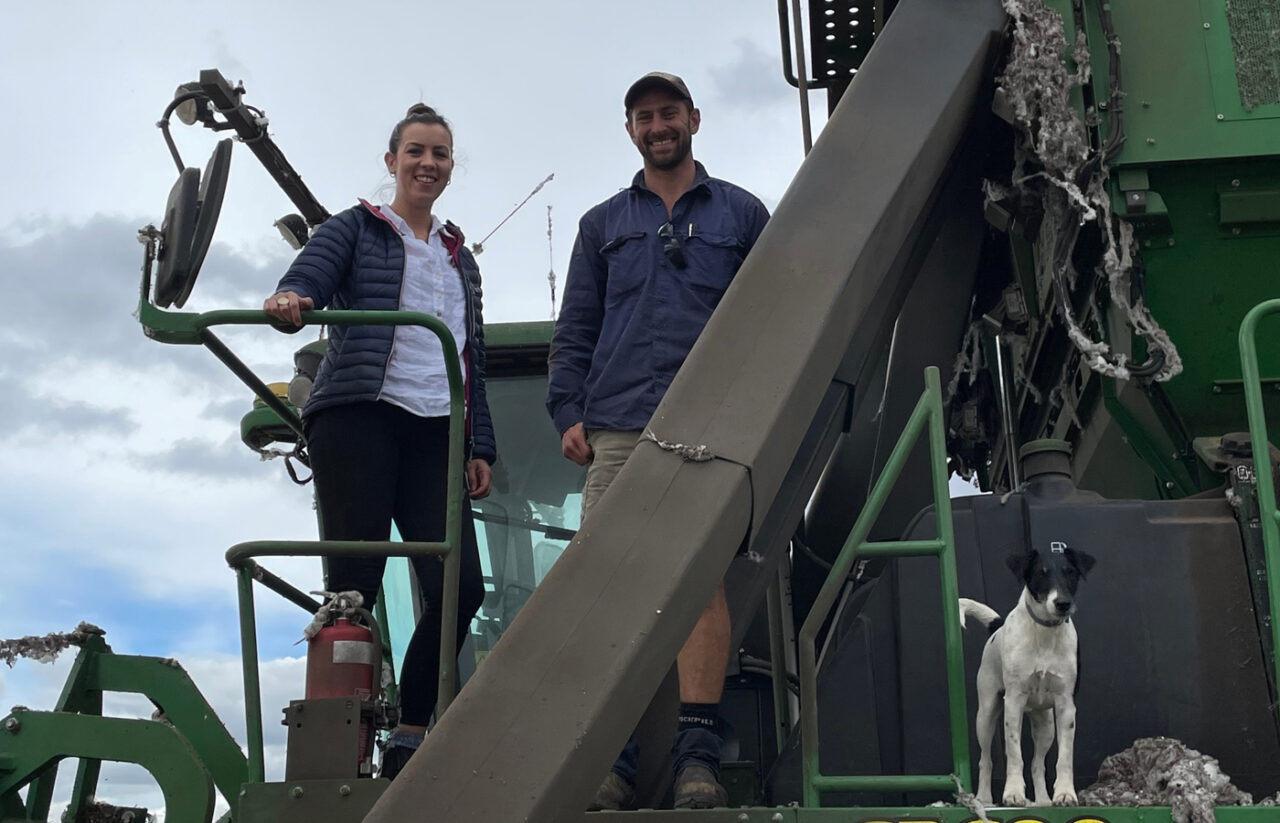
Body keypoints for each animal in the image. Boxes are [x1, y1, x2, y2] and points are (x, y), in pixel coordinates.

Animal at [962, 545, 1095, 808]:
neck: (1044, 633)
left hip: (1045, 725)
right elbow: (1014, 754)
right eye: (1040, 573)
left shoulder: (1066, 705)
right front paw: (1013, 793)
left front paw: (1065, 793)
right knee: (985, 760)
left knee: (1037, 764)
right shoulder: (1013, 702)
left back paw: (1043, 800)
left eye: (1071, 572)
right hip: (986, 714)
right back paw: (984, 797)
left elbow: (1064, 757)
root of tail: (998, 627)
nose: (1062, 603)